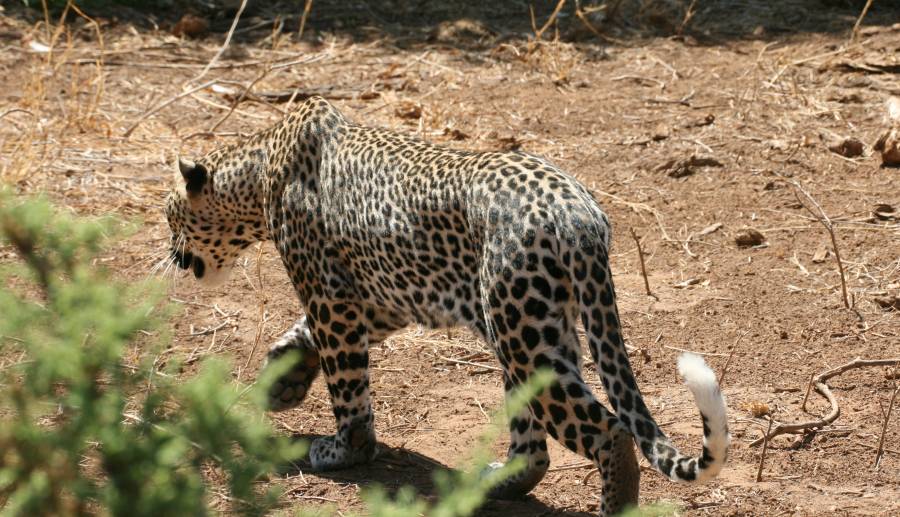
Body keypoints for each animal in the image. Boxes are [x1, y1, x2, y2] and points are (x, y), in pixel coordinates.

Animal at [165, 97, 732, 516]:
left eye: (170, 214)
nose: (170, 251)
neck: (258, 170)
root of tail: (581, 213)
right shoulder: (380, 297)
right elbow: (308, 337)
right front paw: (283, 378)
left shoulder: (330, 294)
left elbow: (346, 380)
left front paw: (346, 449)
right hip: (532, 327)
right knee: (535, 445)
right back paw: (495, 484)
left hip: (523, 335)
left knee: (610, 432)